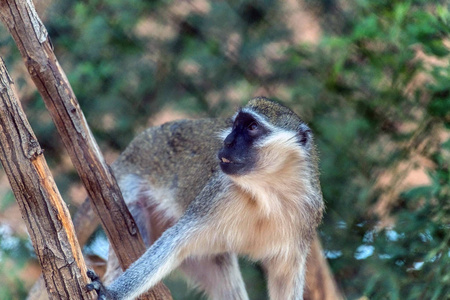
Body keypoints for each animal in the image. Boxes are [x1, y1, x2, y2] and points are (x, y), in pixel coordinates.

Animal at [86, 97, 324, 298]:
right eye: (235, 125)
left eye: (252, 127)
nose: (227, 141)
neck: (266, 193)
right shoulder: (219, 194)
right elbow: (174, 241)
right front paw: (111, 293)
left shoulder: (306, 215)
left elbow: (285, 278)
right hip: (130, 189)